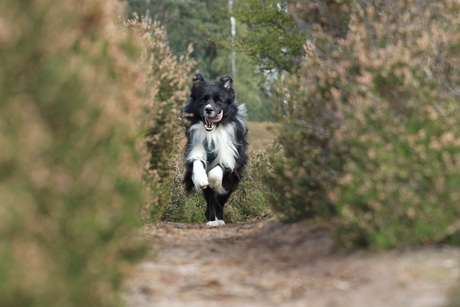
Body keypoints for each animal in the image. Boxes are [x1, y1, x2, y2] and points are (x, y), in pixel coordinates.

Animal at [182, 72, 248, 226]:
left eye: (219, 101)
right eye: (203, 99)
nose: (208, 109)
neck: (213, 131)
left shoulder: (232, 156)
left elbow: (216, 172)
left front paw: (212, 182)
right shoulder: (195, 147)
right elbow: (197, 163)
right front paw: (202, 180)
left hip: (232, 181)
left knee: (221, 199)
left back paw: (219, 218)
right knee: (211, 200)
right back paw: (212, 220)